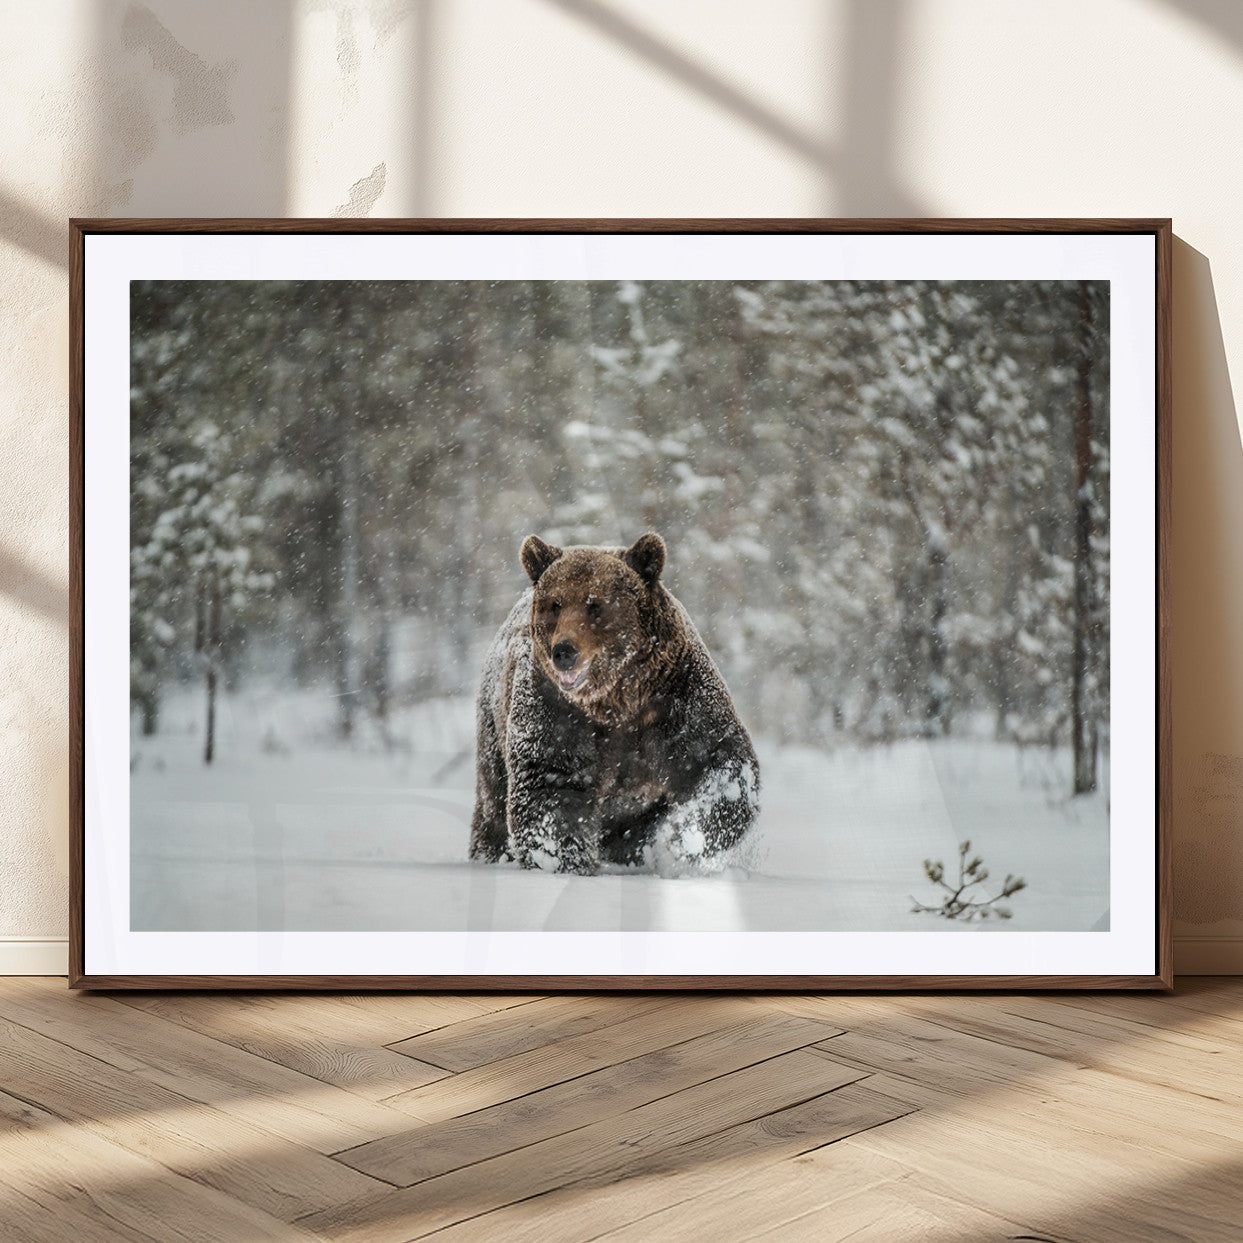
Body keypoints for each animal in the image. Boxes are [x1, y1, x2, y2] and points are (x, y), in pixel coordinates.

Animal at [469, 532, 759, 875]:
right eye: (556, 604)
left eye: (595, 604)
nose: (563, 651)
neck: (617, 698)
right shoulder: (555, 708)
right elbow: (550, 784)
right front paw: (565, 861)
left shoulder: (676, 697)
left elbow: (717, 761)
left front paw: (683, 837)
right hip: (493, 726)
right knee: (493, 803)